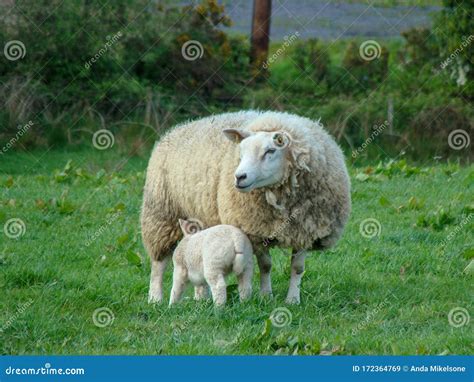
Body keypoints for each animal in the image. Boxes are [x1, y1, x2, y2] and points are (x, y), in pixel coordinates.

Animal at [139, 109, 350, 304]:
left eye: (270, 151)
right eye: (240, 153)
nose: (239, 177)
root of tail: (175, 130)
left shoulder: (305, 228)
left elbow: (297, 268)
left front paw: (292, 300)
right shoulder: (255, 231)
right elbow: (265, 266)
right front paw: (266, 296)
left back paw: (201, 298)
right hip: (160, 215)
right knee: (158, 264)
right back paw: (155, 298)